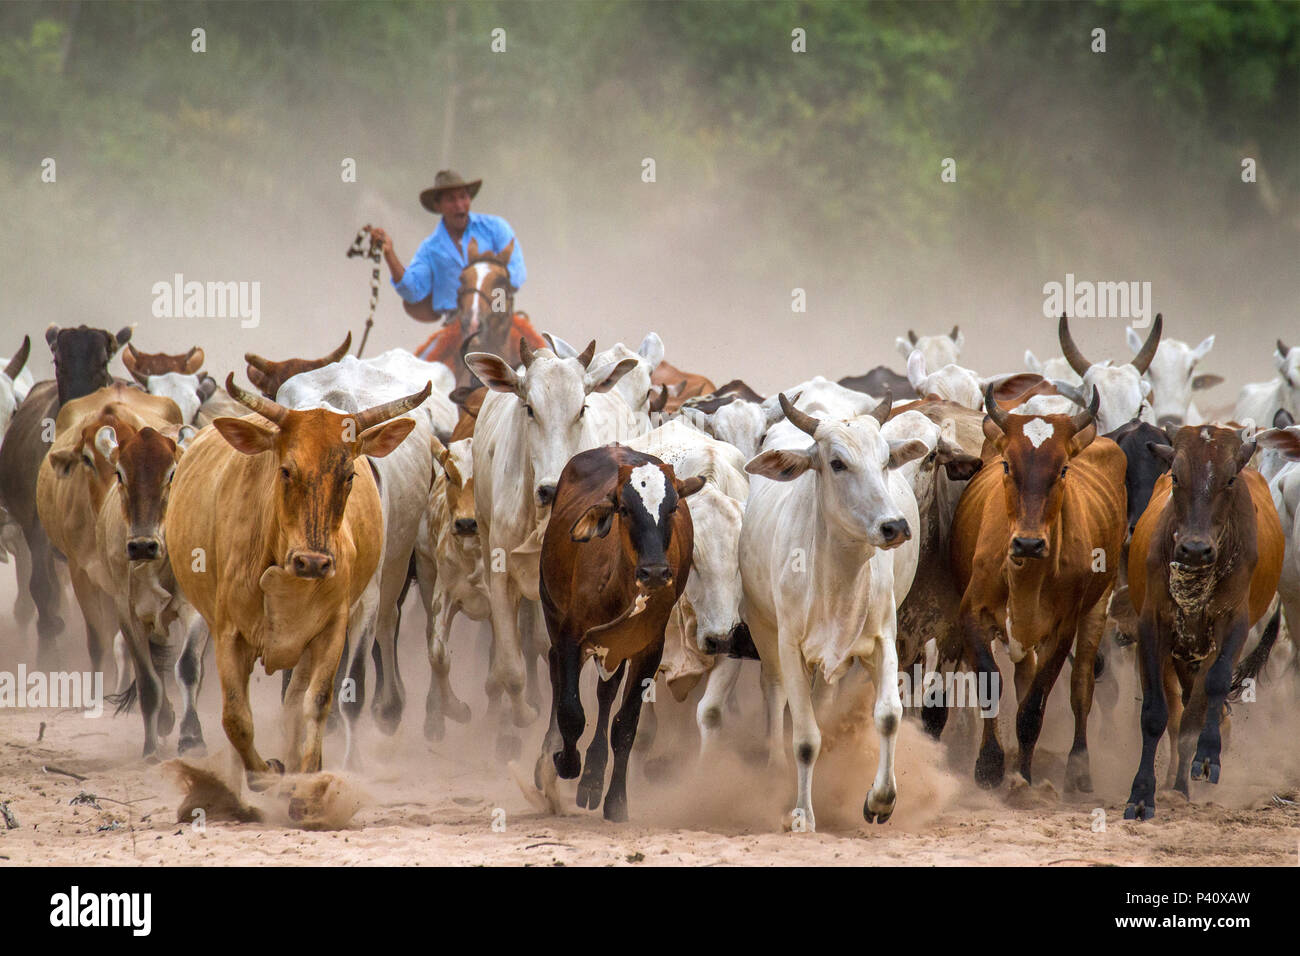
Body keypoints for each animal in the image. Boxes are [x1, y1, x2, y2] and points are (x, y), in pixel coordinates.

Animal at [462, 340, 639, 759]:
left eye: (581, 409)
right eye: (529, 408)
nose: (553, 488)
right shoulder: (501, 575)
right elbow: (511, 665)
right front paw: (517, 723)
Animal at [530, 444, 702, 816]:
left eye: (673, 508)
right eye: (624, 509)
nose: (655, 572)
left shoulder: (648, 651)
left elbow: (625, 725)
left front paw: (615, 800)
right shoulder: (572, 637)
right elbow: (571, 711)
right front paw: (565, 761)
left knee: (606, 694)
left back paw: (593, 779)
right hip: (553, 612)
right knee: (556, 675)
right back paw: (549, 762)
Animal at [743, 390, 925, 832]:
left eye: (885, 460)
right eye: (837, 463)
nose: (894, 526)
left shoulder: (883, 639)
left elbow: (888, 715)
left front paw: (880, 801)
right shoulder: (789, 646)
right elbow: (805, 739)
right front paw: (802, 815)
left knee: (824, 702)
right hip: (763, 629)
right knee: (774, 692)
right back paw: (774, 768)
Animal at [935, 387, 1128, 790]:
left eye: (1063, 469)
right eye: (1008, 465)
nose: (1028, 543)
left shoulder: (1062, 631)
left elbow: (1033, 708)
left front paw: (1022, 775)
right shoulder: (972, 615)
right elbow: (991, 683)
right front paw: (990, 765)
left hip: (1097, 608)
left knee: (1081, 688)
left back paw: (1079, 771)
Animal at [1123, 426, 1284, 822]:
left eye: (1229, 479)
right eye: (1176, 477)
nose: (1195, 549)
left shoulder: (1233, 624)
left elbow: (1211, 692)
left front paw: (1208, 757)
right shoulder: (1153, 628)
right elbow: (1155, 713)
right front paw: (1141, 794)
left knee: (1195, 711)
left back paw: (1183, 783)